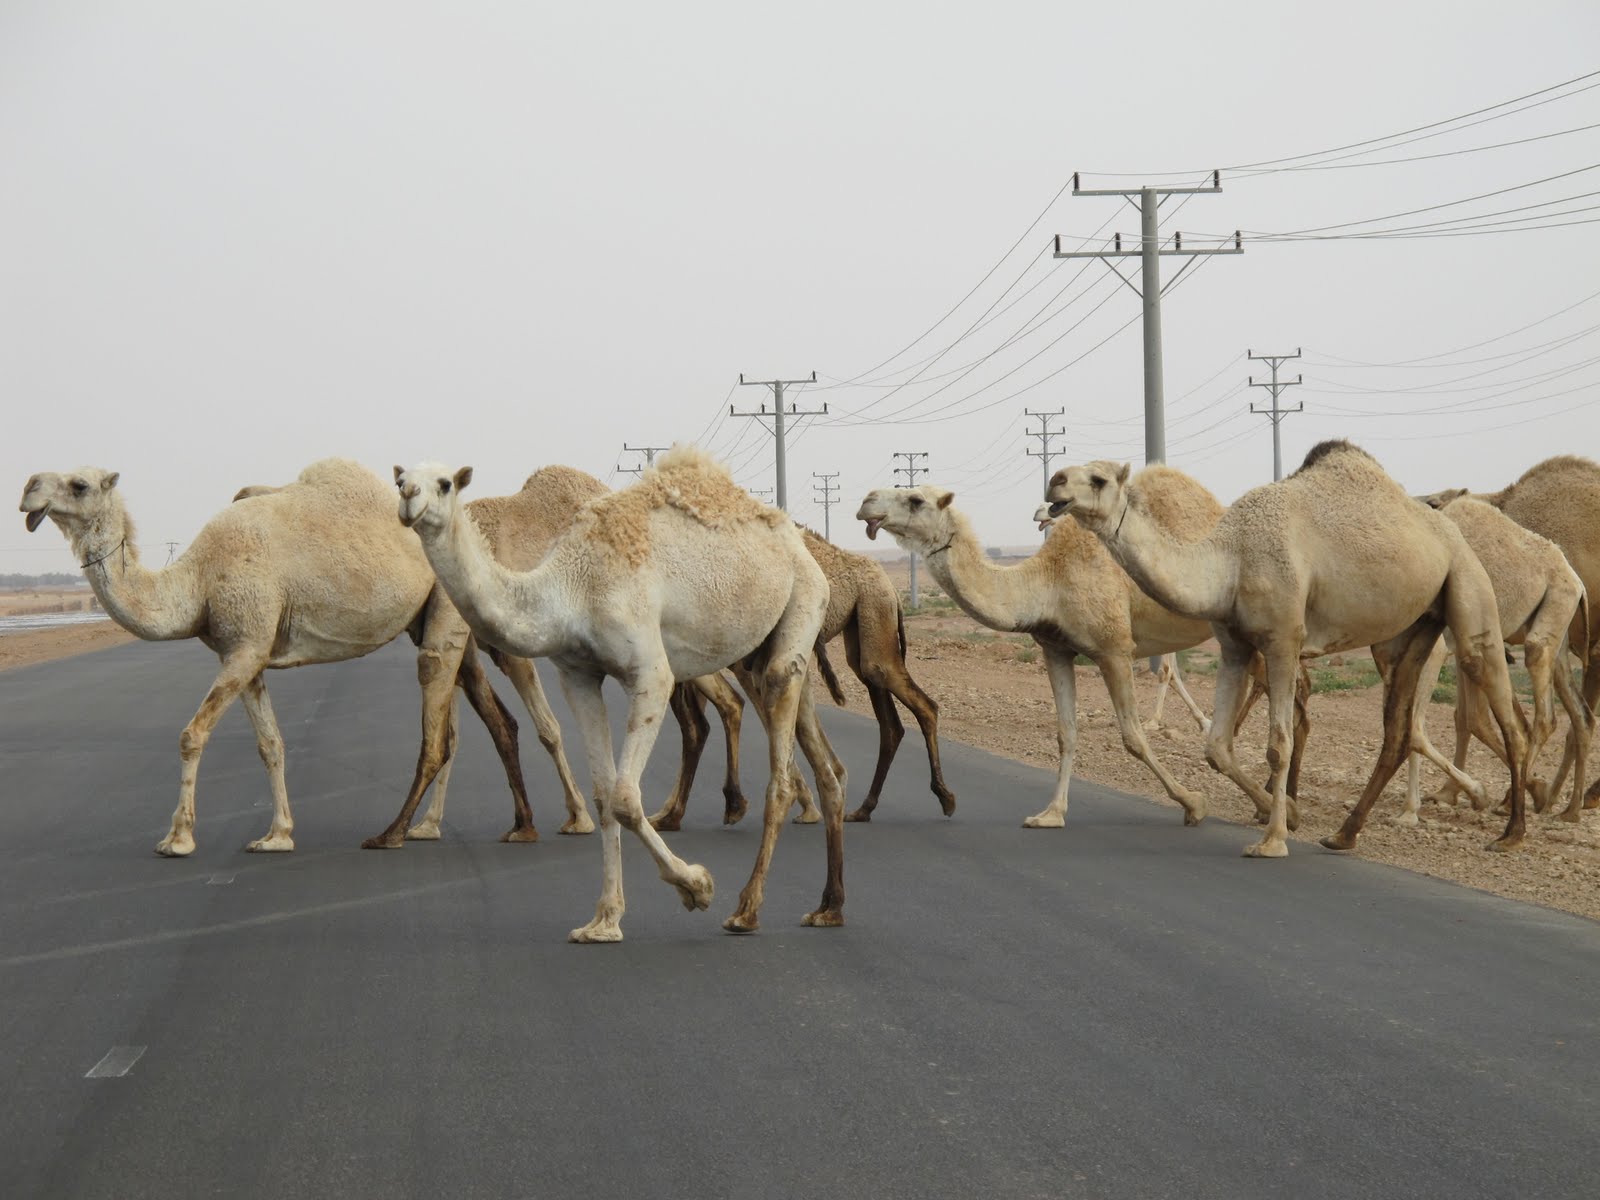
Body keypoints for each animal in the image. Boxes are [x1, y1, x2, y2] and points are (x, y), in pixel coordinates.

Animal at [18, 459, 548, 855]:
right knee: (495, 717)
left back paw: (392, 834)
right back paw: (520, 825)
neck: (198, 580)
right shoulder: (245, 652)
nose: (27, 487)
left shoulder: (246, 644)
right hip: (445, 616)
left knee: (437, 716)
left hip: (442, 615)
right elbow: (270, 744)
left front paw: (178, 838)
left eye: (79, 484)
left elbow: (192, 734)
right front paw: (277, 835)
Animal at [395, 448, 846, 941]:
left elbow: (627, 799)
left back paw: (746, 910)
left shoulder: (650, 673)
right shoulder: (578, 675)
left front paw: (697, 887)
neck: (571, 586)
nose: (408, 498)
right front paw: (604, 921)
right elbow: (603, 795)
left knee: (781, 773)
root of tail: (796, 541)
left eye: (444, 484)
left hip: (804, 599)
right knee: (825, 766)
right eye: (400, 479)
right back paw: (829, 907)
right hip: (763, 650)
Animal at [855, 472, 1313, 830]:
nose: (865, 502)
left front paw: (1193, 803)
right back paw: (1275, 801)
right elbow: (1066, 732)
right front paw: (1051, 813)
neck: (1048, 582)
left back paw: (1281, 806)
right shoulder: (1056, 650)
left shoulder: (1114, 649)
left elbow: (1133, 737)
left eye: (915, 499)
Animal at [1048, 439, 1530, 857]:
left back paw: (1511, 832)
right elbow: (1216, 746)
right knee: (1398, 729)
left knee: (1502, 705)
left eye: (1097, 479)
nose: (1054, 481)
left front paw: (1273, 838)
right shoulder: (1235, 645)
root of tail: (1448, 528)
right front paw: (1283, 816)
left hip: (1467, 582)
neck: (1231, 559)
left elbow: (1278, 744)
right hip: (1410, 630)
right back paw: (1343, 834)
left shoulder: (1282, 640)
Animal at [1393, 490, 1591, 823]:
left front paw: (1411, 809)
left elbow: (1419, 726)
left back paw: (1517, 800)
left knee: (1545, 716)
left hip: (1550, 615)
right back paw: (1568, 809)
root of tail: (1578, 581)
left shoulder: (1436, 646)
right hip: (1556, 635)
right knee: (1581, 715)